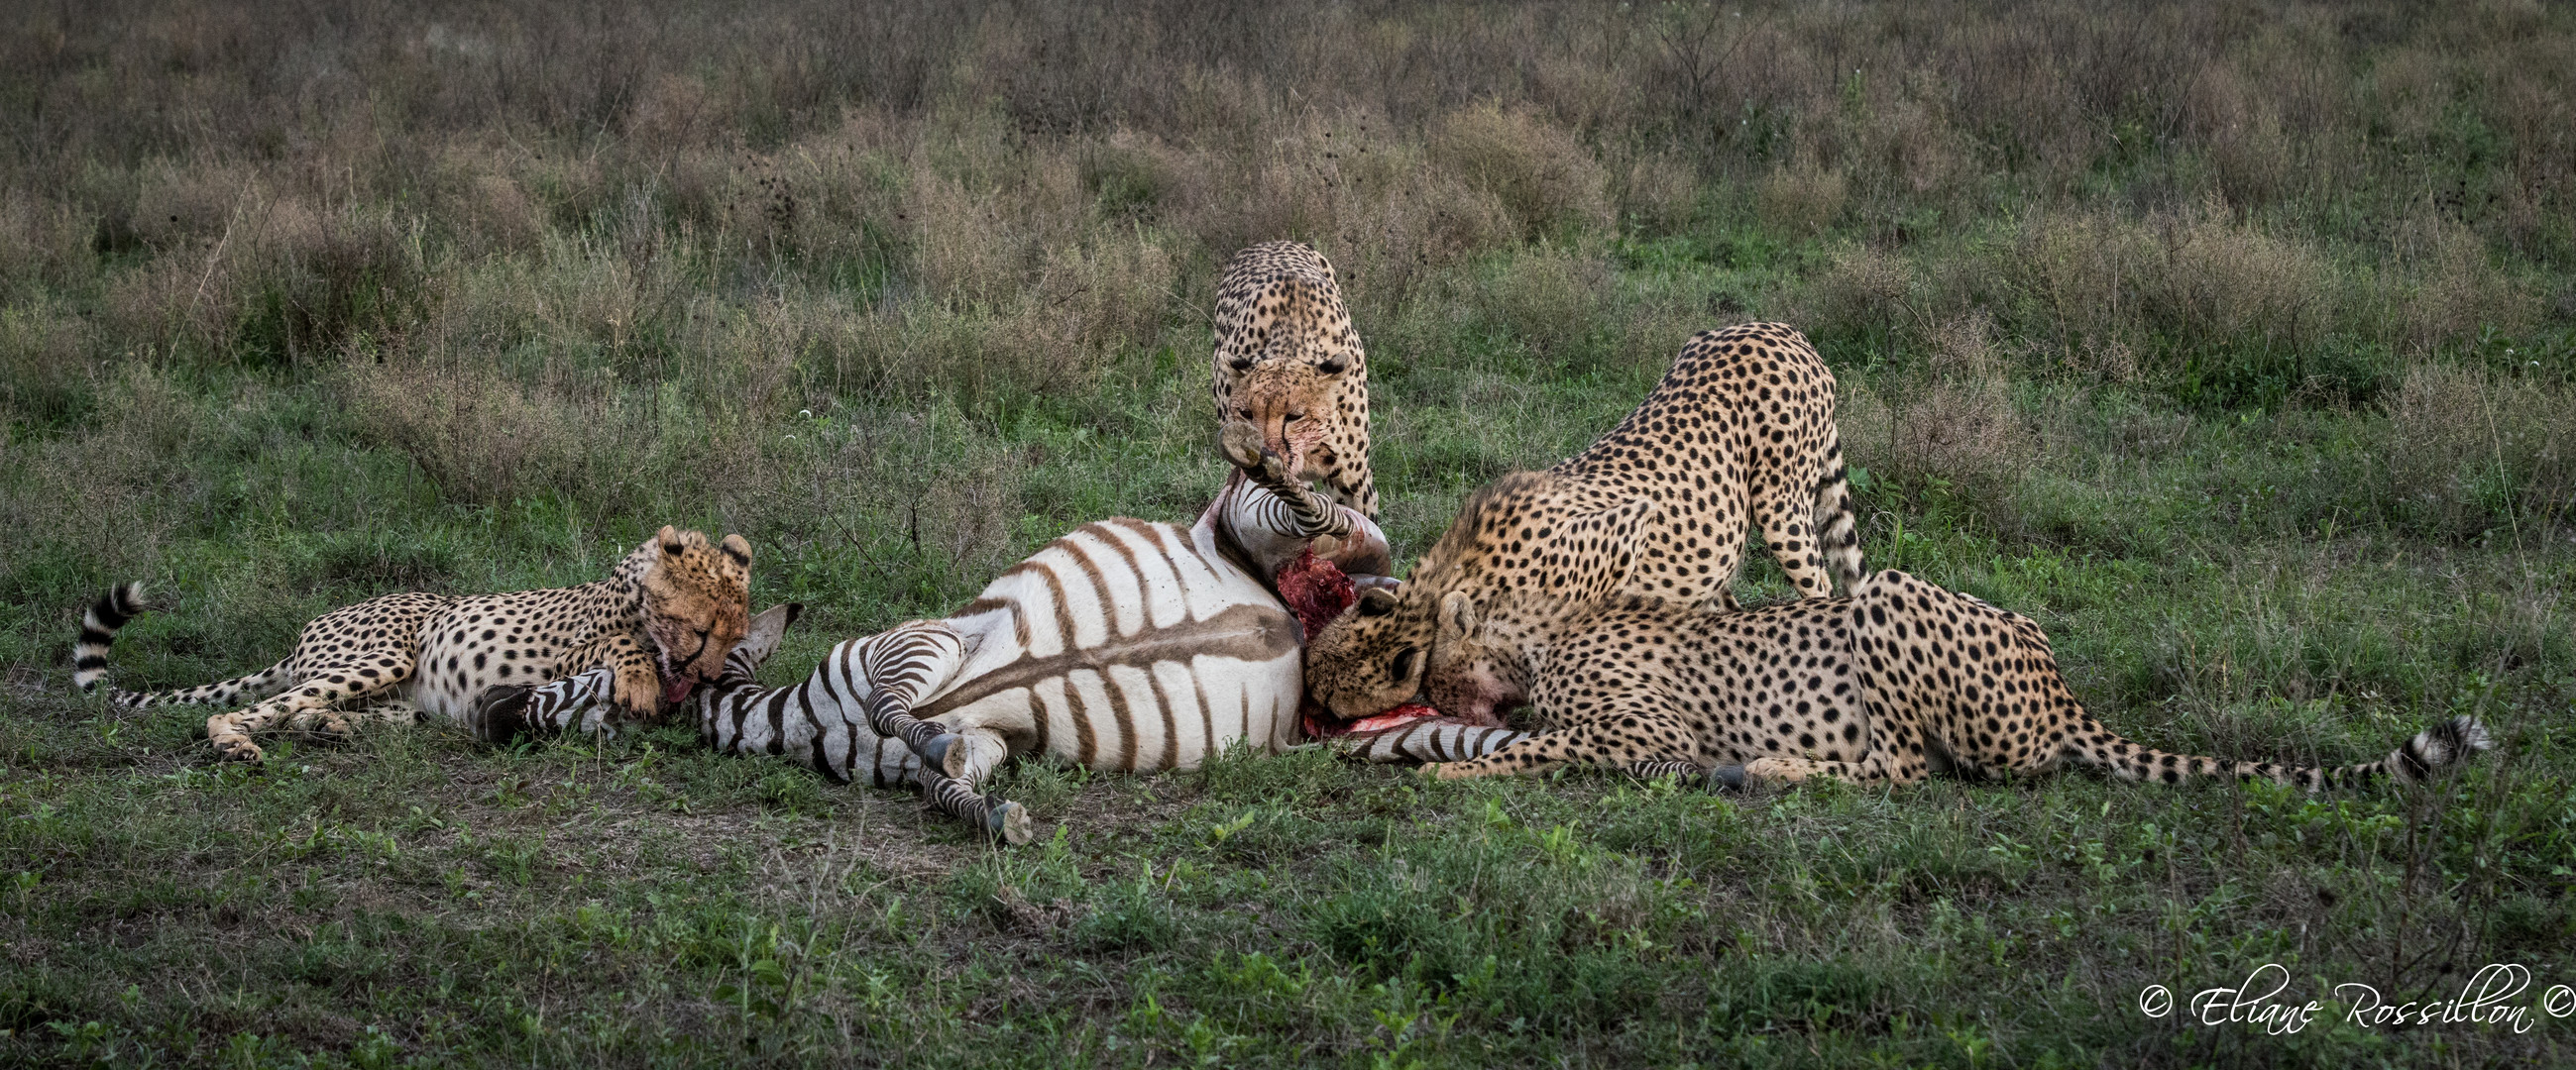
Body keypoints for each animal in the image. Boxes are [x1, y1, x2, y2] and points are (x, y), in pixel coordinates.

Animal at [70, 527, 751, 761]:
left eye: (733, 636)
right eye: (700, 630)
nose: (707, 677)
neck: (637, 587)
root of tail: (308, 629)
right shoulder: (567, 652)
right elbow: (623, 649)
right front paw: (640, 679)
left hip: (406, 705)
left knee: (307, 712)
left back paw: (328, 728)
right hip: (384, 655)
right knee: (252, 710)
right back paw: (235, 743)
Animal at [1308, 324, 1854, 725]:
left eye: (1332, 701)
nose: (1314, 713)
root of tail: (1778, 328)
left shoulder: (1622, 535)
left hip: (1782, 510)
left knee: (1823, 589)